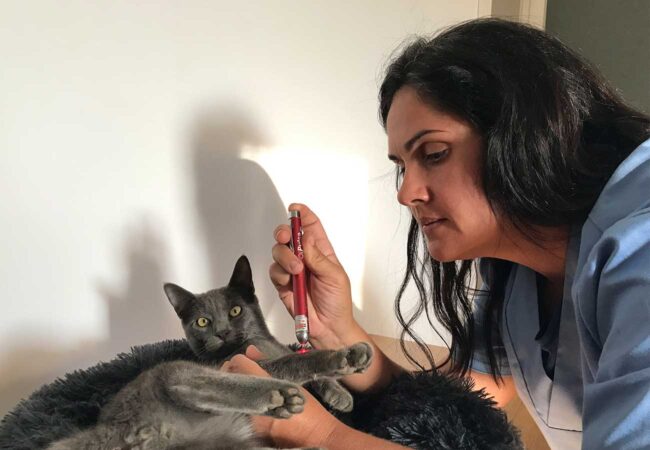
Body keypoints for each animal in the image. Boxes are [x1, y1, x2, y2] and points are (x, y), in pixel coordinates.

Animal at [47, 255, 372, 450]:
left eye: (235, 310)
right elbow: (294, 359)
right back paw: (277, 396)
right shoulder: (240, 362)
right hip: (173, 373)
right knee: (197, 385)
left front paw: (340, 391)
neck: (259, 344)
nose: (222, 332)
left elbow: (301, 359)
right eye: (202, 322)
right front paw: (342, 357)